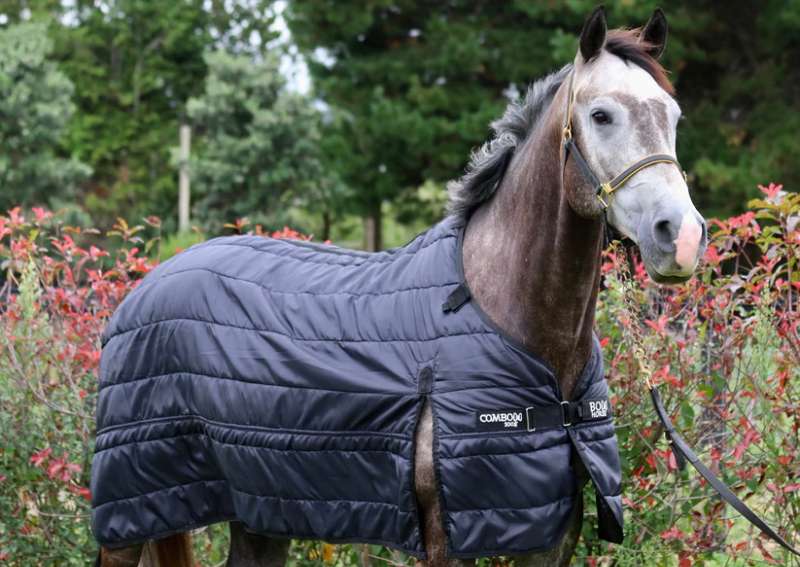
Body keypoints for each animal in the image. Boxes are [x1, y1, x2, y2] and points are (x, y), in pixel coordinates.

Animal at [95, 7, 706, 567]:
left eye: (675, 115)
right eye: (601, 115)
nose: (681, 237)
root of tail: (151, 283)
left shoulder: (554, 535)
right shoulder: (442, 538)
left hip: (259, 509)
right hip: (131, 515)